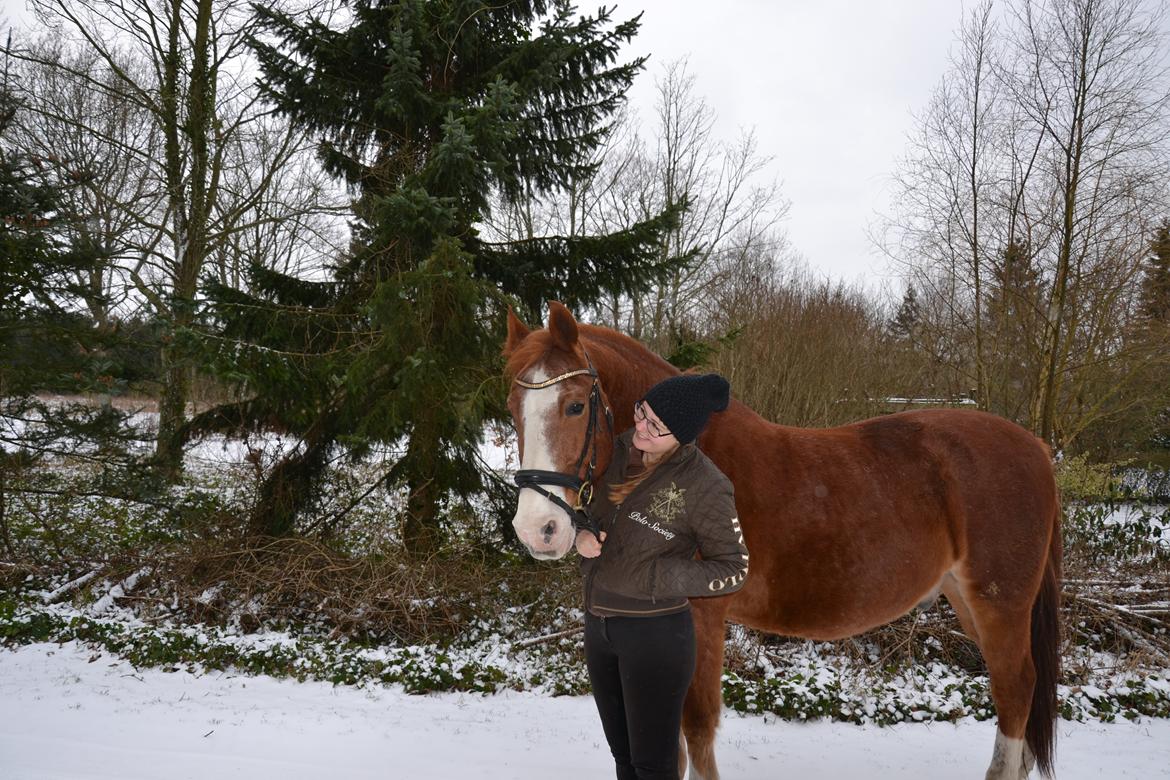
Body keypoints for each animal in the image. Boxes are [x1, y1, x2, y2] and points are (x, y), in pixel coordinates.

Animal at [503, 304, 1062, 780]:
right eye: (511, 409)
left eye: (576, 405)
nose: (537, 529)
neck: (689, 452)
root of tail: (1036, 447)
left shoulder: (701, 618)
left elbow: (696, 730)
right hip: (965, 600)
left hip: (1001, 605)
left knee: (1015, 693)